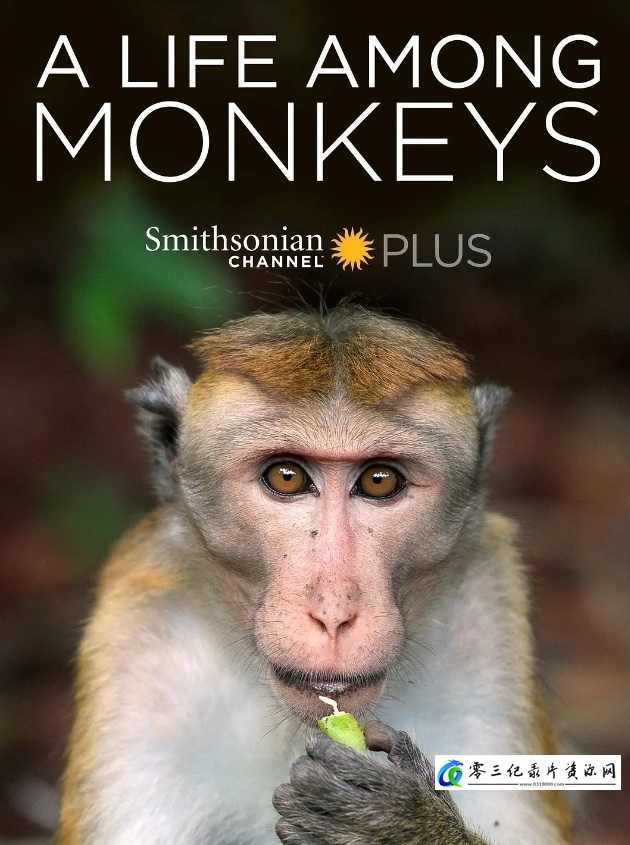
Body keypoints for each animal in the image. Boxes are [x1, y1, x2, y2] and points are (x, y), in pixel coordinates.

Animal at [57, 305, 572, 845]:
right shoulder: (143, 652)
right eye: (286, 477)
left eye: (379, 480)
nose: (333, 612)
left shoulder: (487, 620)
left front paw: (394, 824)